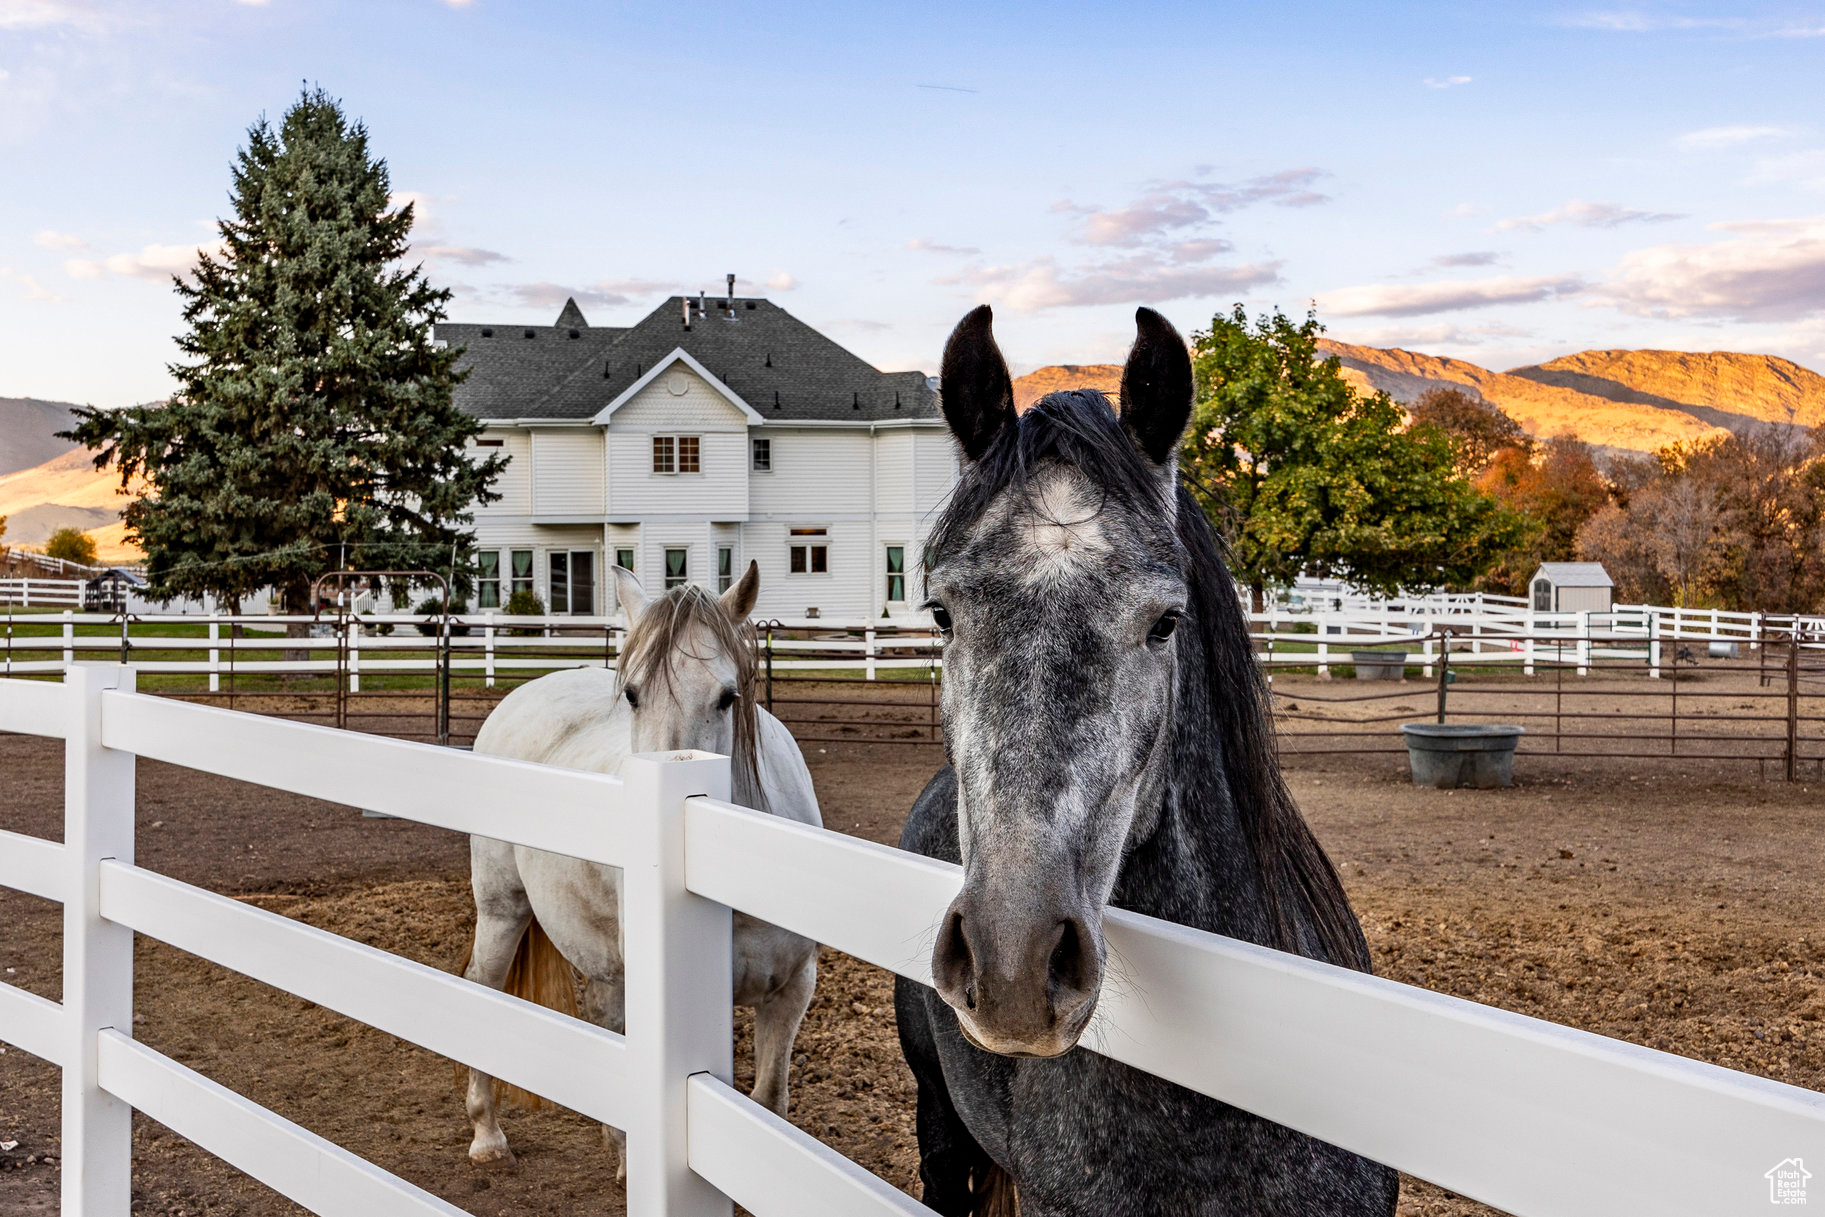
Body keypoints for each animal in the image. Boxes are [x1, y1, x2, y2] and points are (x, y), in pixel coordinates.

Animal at [459, 565, 824, 1175]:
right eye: (632, 694)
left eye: (728, 696)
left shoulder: (791, 990)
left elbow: (769, 1102)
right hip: (502, 908)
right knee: (483, 987)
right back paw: (487, 1134)